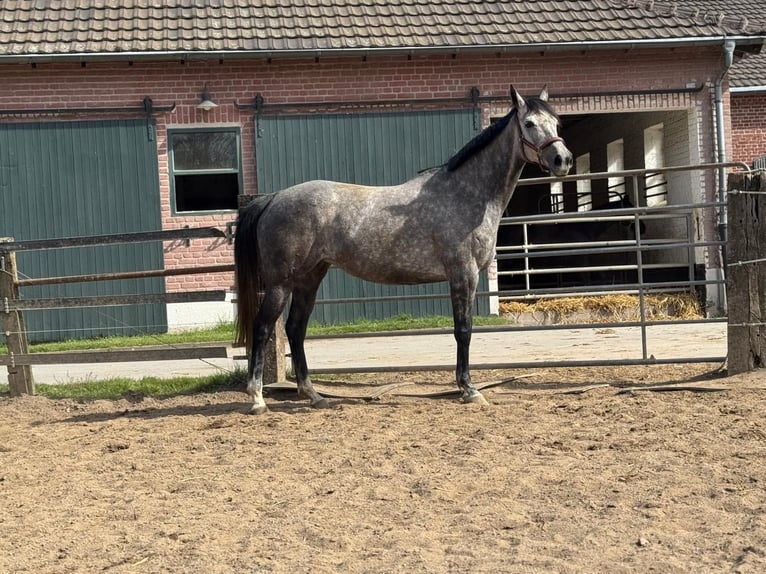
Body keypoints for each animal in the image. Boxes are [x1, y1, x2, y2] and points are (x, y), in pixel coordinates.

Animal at [234, 86, 572, 414]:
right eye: (529, 124)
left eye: (556, 123)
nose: (563, 160)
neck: (466, 193)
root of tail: (273, 198)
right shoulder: (463, 274)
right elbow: (463, 330)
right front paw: (469, 390)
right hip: (281, 283)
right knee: (263, 329)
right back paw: (258, 398)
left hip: (310, 278)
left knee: (295, 329)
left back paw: (314, 396)